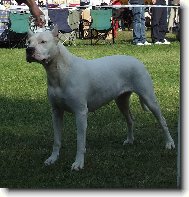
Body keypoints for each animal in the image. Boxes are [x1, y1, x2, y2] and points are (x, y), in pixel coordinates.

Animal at [25, 25, 175, 171]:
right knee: (130, 120)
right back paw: (130, 140)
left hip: (149, 98)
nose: (29, 50)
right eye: (28, 42)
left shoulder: (80, 113)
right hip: (121, 101)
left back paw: (169, 143)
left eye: (43, 42)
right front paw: (53, 159)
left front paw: (78, 163)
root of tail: (137, 61)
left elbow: (80, 142)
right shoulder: (56, 112)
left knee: (162, 120)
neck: (59, 72)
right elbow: (56, 140)